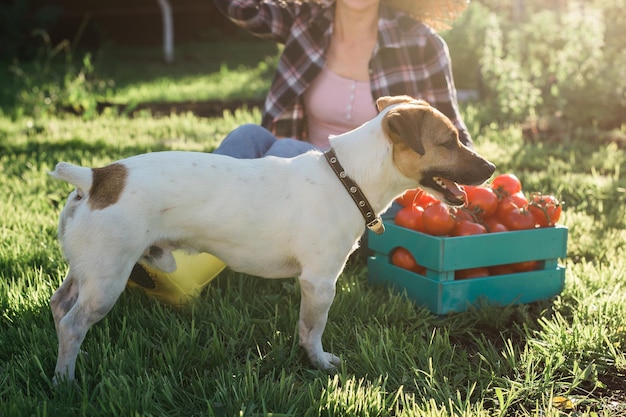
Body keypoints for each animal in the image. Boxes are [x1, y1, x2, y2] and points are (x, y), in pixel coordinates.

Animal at [47, 95, 492, 380]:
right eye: (449, 142)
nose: (490, 168)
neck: (347, 178)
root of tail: (95, 178)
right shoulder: (319, 283)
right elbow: (312, 329)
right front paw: (319, 364)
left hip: (86, 272)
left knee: (59, 305)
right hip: (107, 281)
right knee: (73, 325)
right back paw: (65, 380)